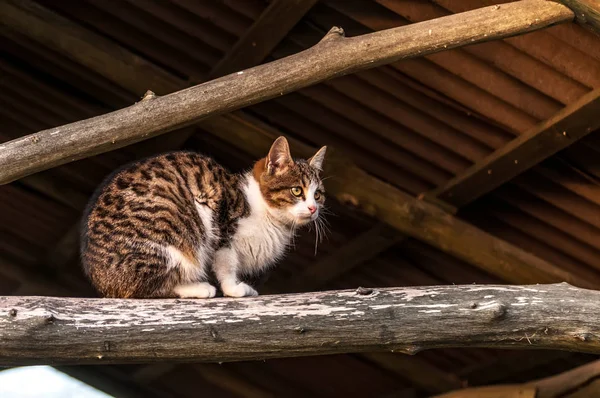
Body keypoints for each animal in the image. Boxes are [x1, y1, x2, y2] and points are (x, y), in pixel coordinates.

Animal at [79, 137, 328, 298]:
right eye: (297, 190)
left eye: (318, 194)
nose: (313, 208)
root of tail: (101, 280)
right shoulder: (223, 223)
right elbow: (226, 263)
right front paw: (233, 289)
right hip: (173, 233)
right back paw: (198, 288)